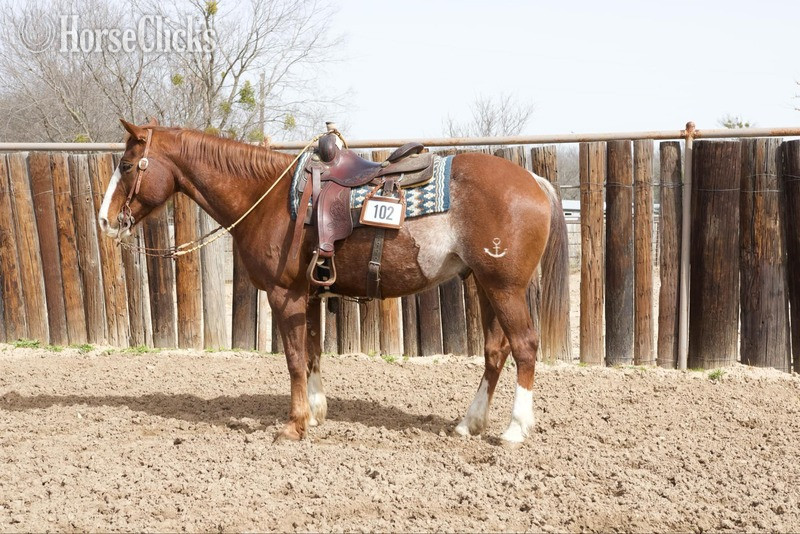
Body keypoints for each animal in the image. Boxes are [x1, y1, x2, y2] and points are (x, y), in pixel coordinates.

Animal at [98, 119, 571, 445]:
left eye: (126, 165)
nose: (103, 220)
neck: (267, 198)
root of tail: (535, 181)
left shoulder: (284, 297)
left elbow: (292, 359)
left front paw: (293, 425)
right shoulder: (308, 295)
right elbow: (311, 354)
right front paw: (316, 411)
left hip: (504, 288)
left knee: (524, 347)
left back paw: (514, 429)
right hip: (485, 285)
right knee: (495, 351)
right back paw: (468, 423)